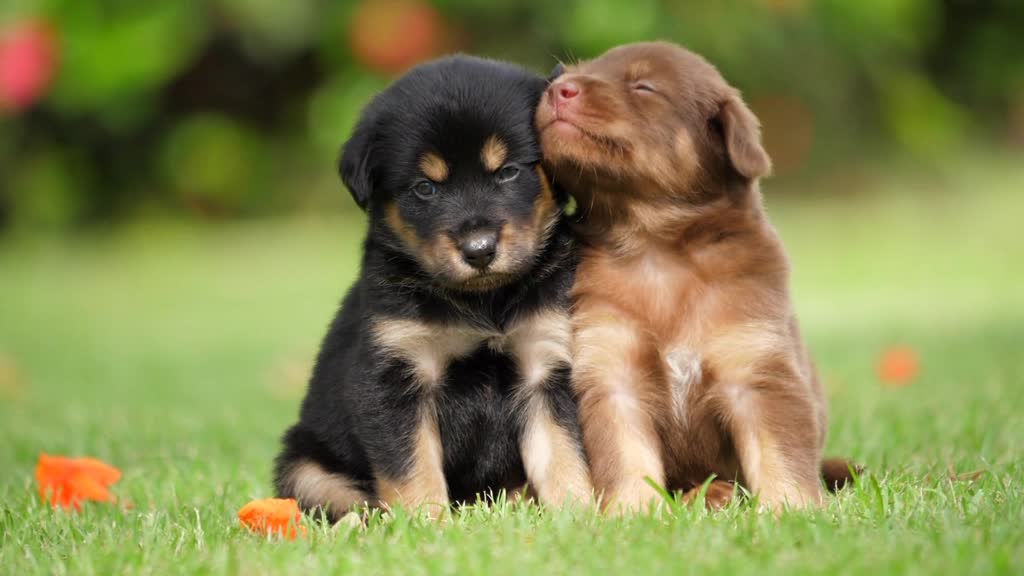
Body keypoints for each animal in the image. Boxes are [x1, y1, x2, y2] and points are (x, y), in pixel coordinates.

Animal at [272, 54, 593, 520]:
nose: (479, 250)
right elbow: (412, 467)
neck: (484, 302)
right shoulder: (396, 376)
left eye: (508, 172)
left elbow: (564, 453)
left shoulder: (546, 365)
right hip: (305, 466)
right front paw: (426, 522)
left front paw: (580, 515)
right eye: (425, 188)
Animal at [540, 43, 851, 510]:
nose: (557, 89)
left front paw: (790, 509)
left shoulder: (757, 368)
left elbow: (780, 454)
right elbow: (626, 455)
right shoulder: (612, 372)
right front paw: (631, 511)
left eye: (644, 86)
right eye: (573, 72)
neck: (655, 247)